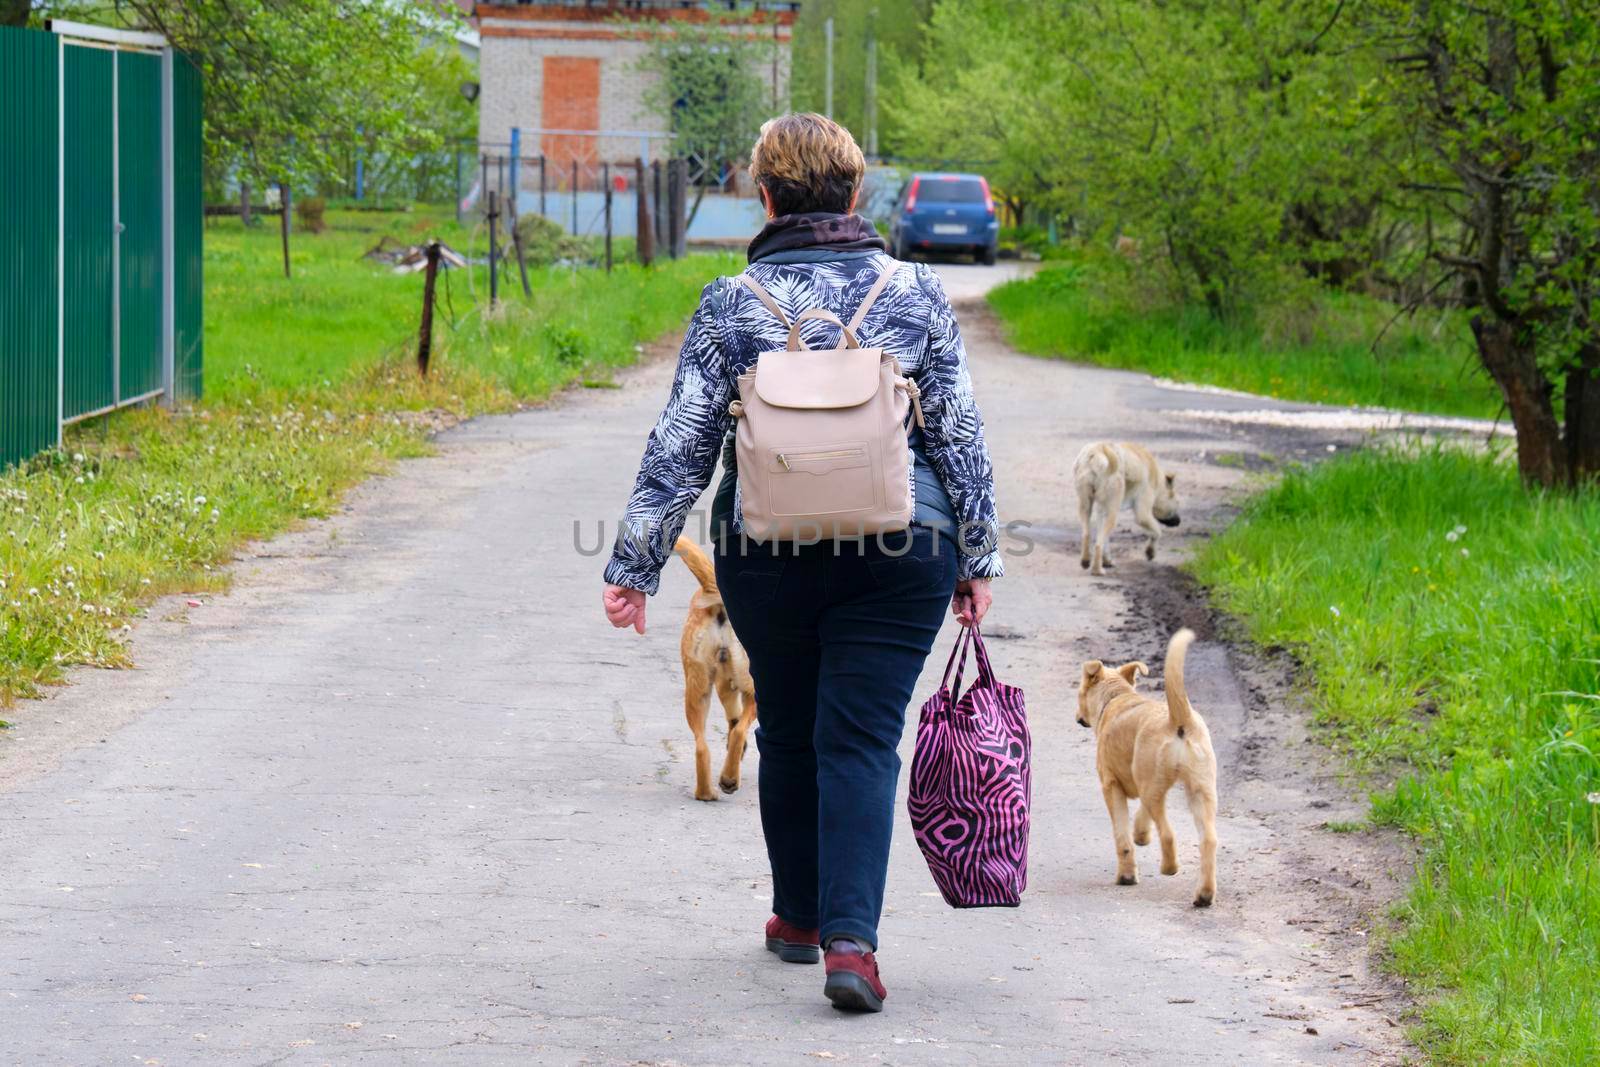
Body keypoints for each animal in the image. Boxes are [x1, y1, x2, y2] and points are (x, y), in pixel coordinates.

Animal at [668, 537, 755, 806]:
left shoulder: (725, 685)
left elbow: (733, 716)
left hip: (698, 689)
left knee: (701, 746)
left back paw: (706, 792)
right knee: (738, 732)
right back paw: (729, 779)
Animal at [1068, 441, 1184, 575]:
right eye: (1177, 503)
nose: (1179, 521)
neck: (1157, 482)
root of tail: (1096, 453)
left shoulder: (1102, 510)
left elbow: (1104, 537)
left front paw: (1107, 560)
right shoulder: (1143, 513)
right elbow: (1157, 532)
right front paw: (1150, 552)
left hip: (1085, 505)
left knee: (1088, 534)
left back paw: (1086, 560)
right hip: (1113, 510)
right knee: (1098, 544)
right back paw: (1097, 570)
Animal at [1081, 630, 1216, 908]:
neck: (1117, 697)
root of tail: (1179, 719)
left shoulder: (1111, 786)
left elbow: (1122, 837)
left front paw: (1127, 876)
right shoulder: (1143, 783)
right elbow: (1139, 818)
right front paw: (1141, 834)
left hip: (1157, 790)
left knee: (1168, 834)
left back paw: (1169, 868)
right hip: (1200, 789)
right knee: (1208, 840)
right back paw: (1204, 895)